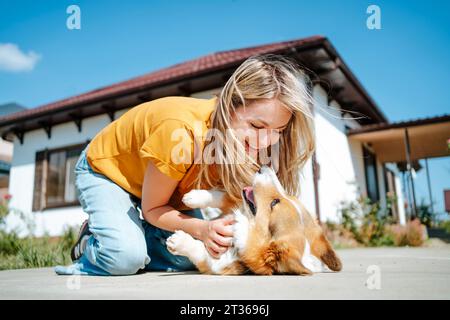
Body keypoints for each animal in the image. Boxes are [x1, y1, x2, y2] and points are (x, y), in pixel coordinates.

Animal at [165, 165, 342, 276]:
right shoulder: (232, 207)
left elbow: (200, 251)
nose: (264, 166)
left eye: (274, 203)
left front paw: (178, 241)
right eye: (288, 197)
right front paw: (193, 197)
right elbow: (224, 197)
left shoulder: (219, 264)